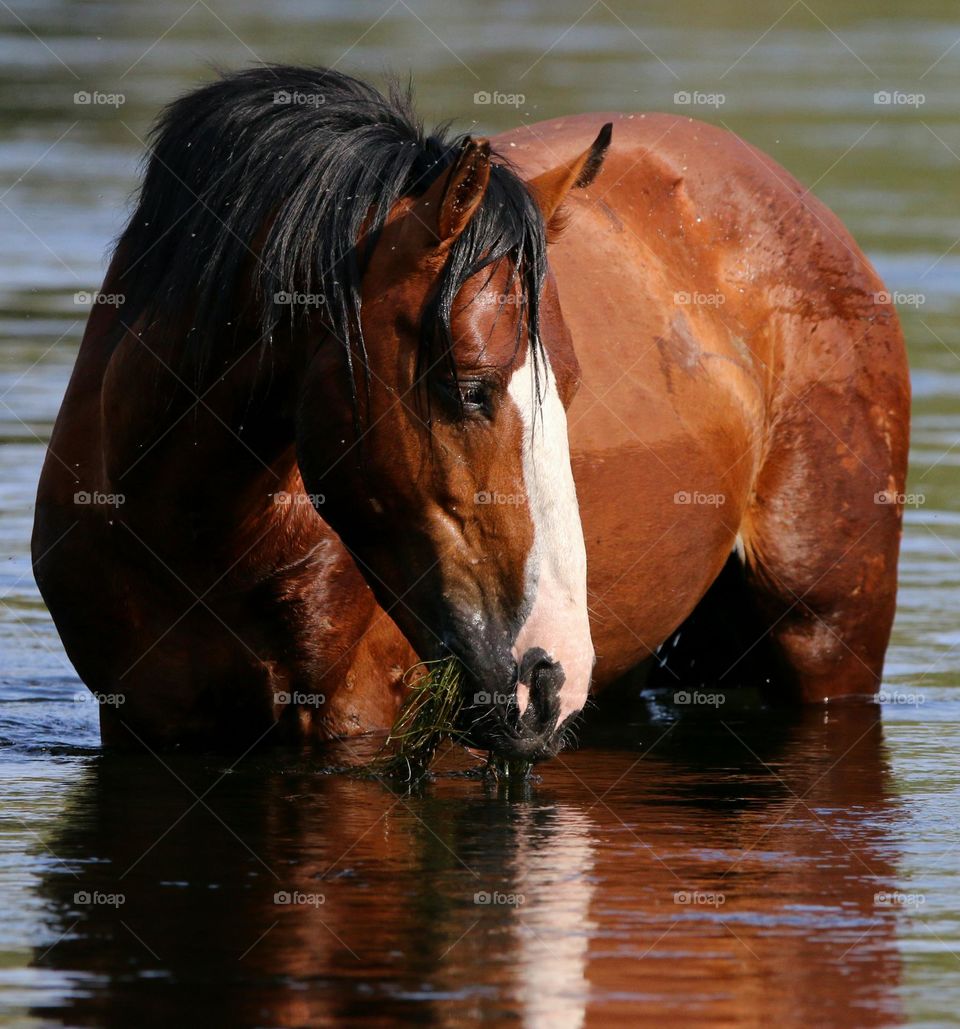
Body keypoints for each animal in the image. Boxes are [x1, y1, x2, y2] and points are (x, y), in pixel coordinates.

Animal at [32, 66, 910, 762]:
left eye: (571, 386)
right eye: (467, 383)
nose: (550, 673)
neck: (191, 527)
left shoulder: (357, 720)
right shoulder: (140, 722)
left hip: (828, 637)